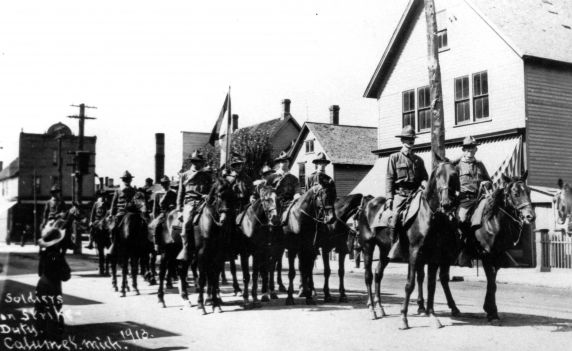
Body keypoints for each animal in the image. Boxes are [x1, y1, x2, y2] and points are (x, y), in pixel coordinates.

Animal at [466, 172, 536, 326]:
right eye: (515, 193)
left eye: (529, 191)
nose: (530, 216)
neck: (492, 222)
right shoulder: (486, 256)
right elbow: (491, 284)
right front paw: (492, 313)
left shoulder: (497, 257)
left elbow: (493, 284)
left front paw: (491, 310)